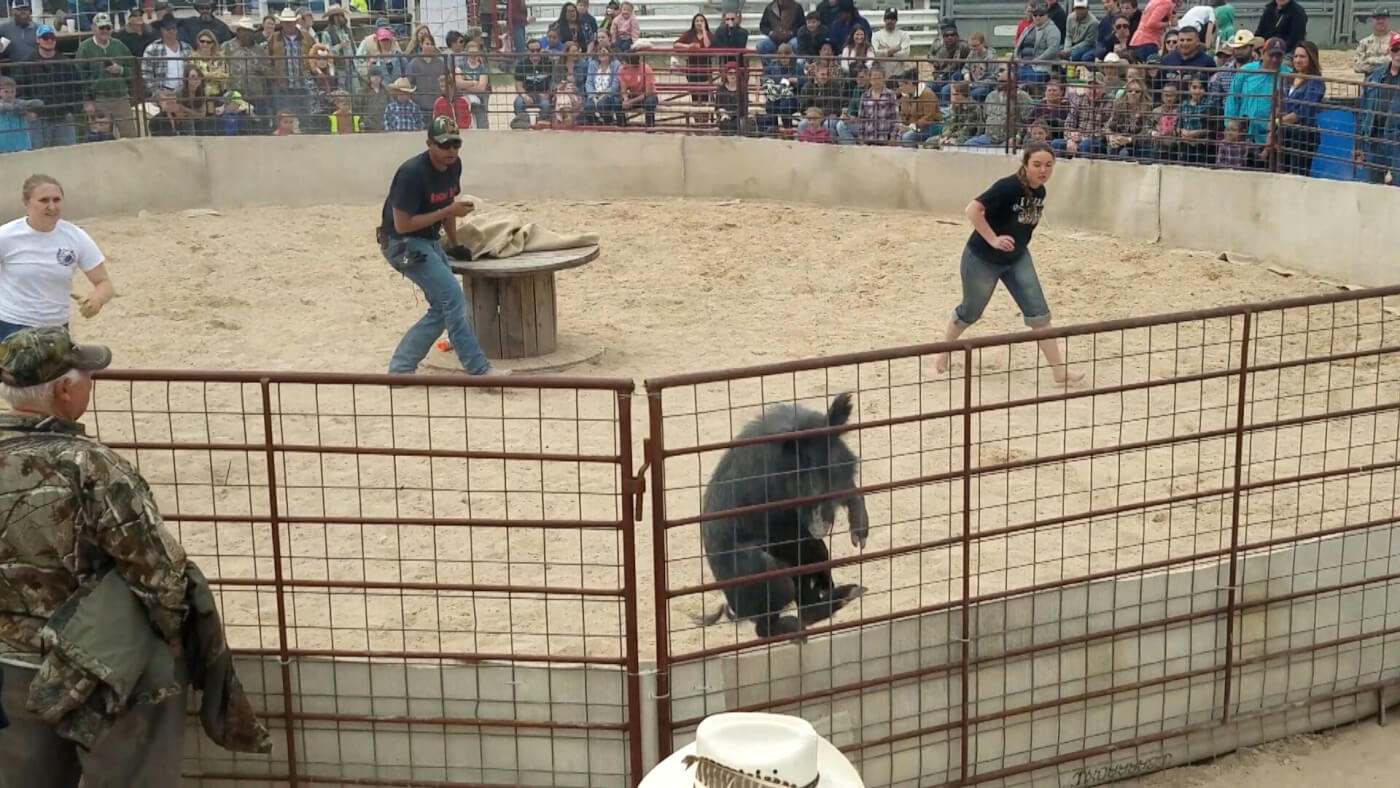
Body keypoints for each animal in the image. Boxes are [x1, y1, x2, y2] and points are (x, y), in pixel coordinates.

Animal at [697, 391, 868, 638]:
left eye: (827, 469)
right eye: (797, 481)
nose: (819, 527)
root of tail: (737, 608)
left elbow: (851, 492)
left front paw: (859, 540)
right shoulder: (774, 516)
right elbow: (808, 545)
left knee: (806, 608)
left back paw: (852, 591)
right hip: (762, 574)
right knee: (767, 620)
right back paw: (799, 631)